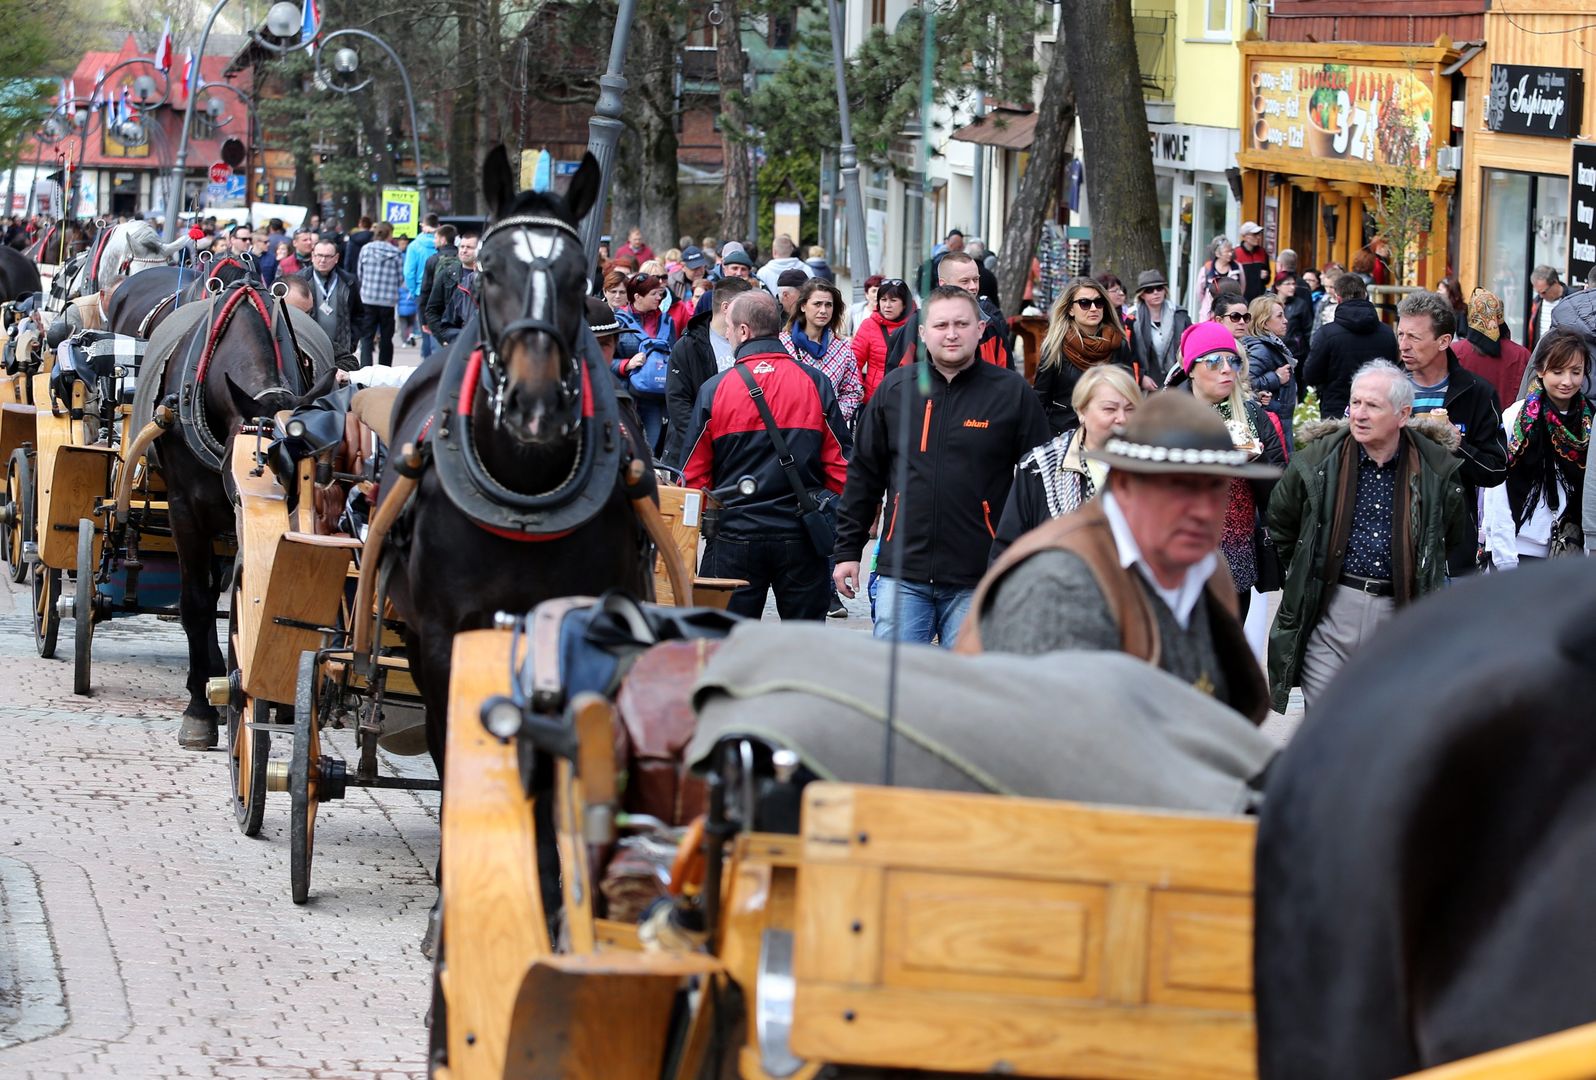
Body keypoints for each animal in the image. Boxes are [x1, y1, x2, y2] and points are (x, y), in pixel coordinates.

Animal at [135, 280, 335, 749]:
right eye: (257, 461)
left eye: (303, 477)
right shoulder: (185, 511)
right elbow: (195, 602)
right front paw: (199, 709)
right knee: (206, 594)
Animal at [379, 145, 654, 775]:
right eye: (489, 270)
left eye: (580, 278)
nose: (536, 404)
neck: (523, 499)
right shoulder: (443, 636)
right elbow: (454, 740)